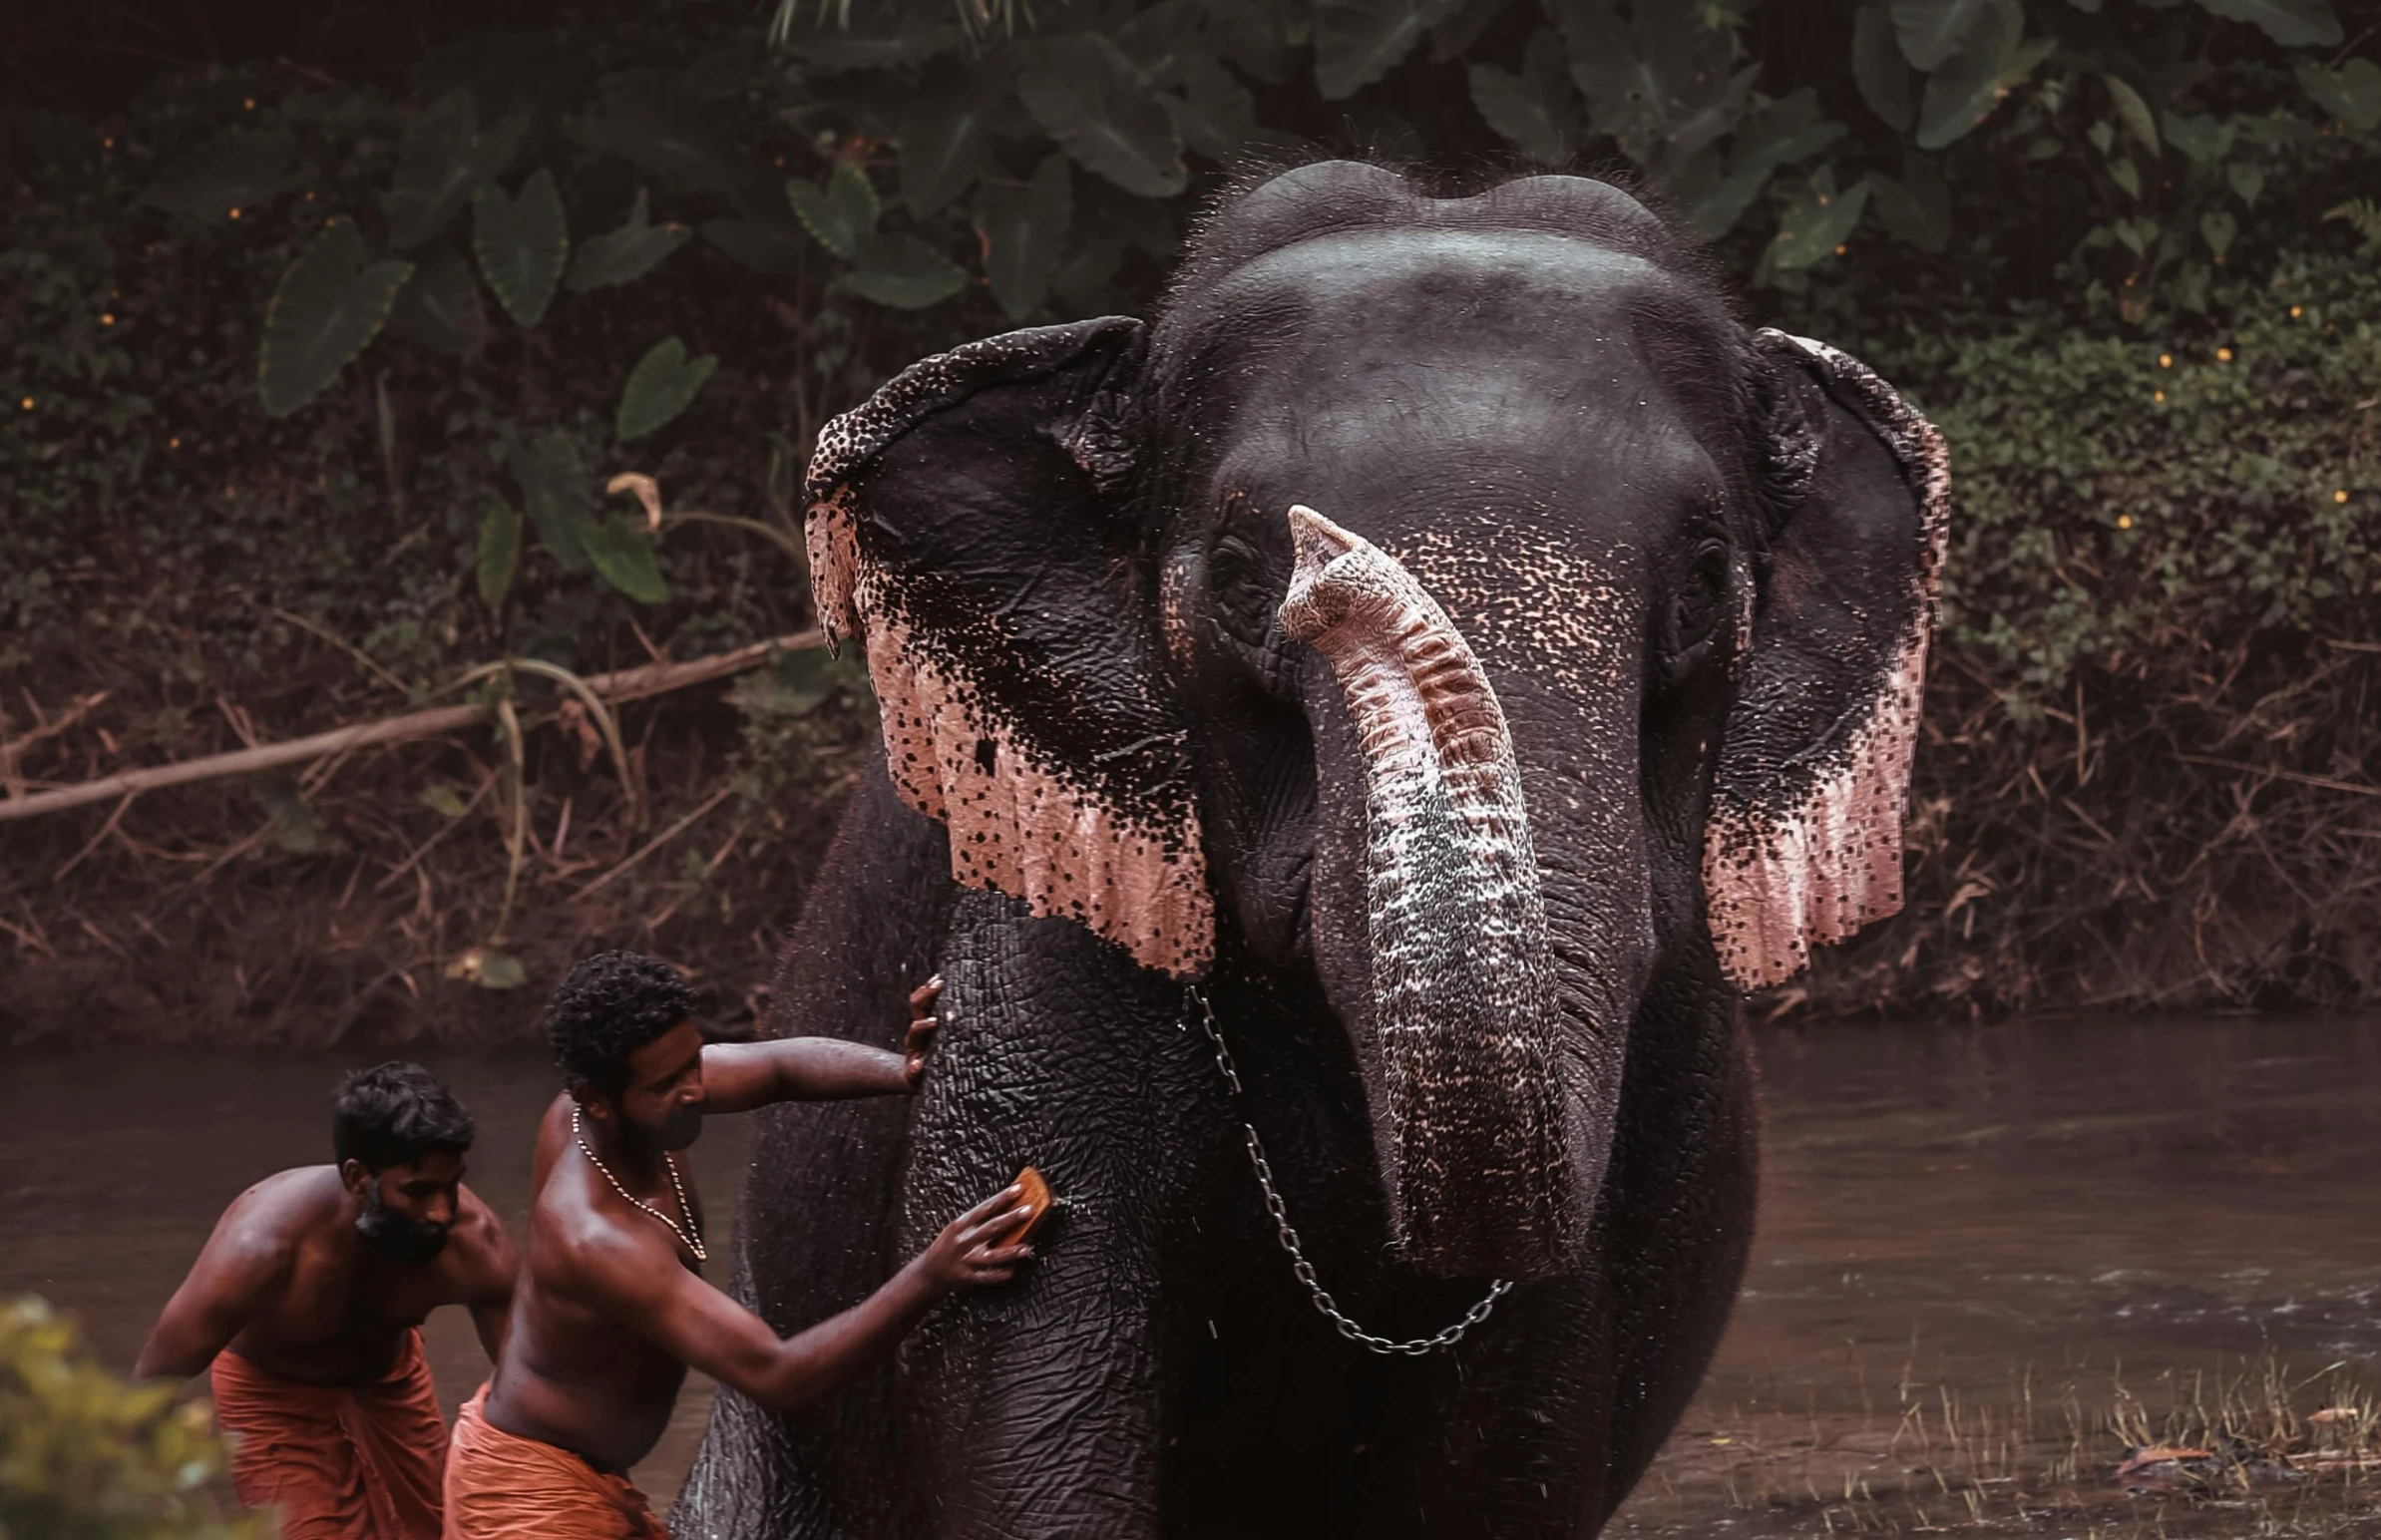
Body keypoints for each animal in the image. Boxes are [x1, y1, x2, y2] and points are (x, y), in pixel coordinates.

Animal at [675, 159, 1952, 1540]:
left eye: (1710, 578)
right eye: (1239, 573)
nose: (1324, 571)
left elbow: (1518, 1421)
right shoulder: (1036, 944)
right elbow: (1022, 1379)